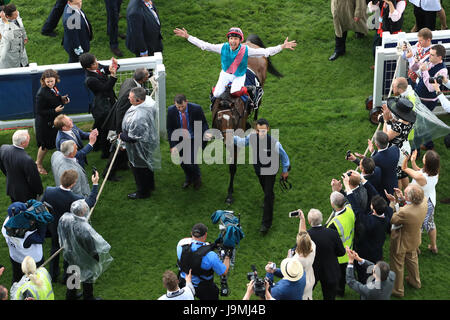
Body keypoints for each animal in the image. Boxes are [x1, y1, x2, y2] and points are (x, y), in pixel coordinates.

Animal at [213, 34, 284, 205]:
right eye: (219, 119)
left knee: (259, 105)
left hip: (262, 86)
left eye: (232, 119)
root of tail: (251, 44)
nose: (228, 137)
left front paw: (230, 193)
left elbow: (233, 166)